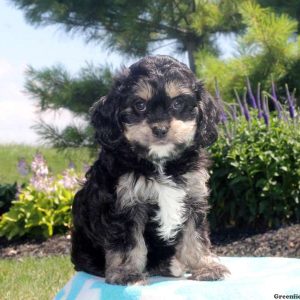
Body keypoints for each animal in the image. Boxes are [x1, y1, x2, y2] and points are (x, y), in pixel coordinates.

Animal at [71, 55, 230, 284]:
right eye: (140, 105)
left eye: (177, 103)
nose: (160, 129)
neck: (160, 163)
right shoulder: (124, 204)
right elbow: (128, 243)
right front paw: (126, 272)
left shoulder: (194, 196)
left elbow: (196, 236)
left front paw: (205, 266)